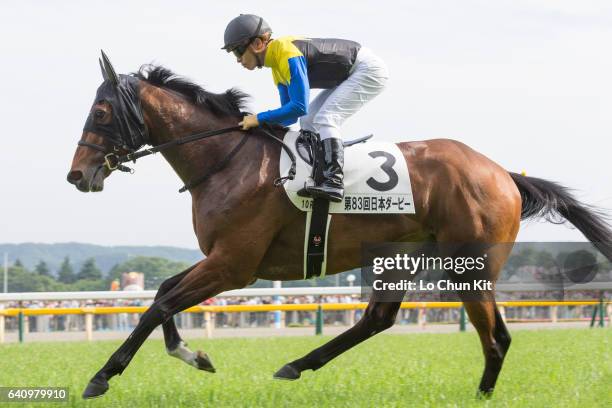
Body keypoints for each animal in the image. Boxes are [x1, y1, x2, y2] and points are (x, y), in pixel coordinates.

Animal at [67, 51, 612, 398]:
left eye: (101, 110)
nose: (77, 175)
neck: (226, 159)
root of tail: (503, 173)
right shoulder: (222, 260)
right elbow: (162, 292)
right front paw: (193, 355)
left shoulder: (234, 266)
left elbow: (157, 305)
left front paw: (101, 377)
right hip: (403, 256)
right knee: (378, 319)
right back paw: (295, 365)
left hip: (470, 266)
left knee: (495, 337)